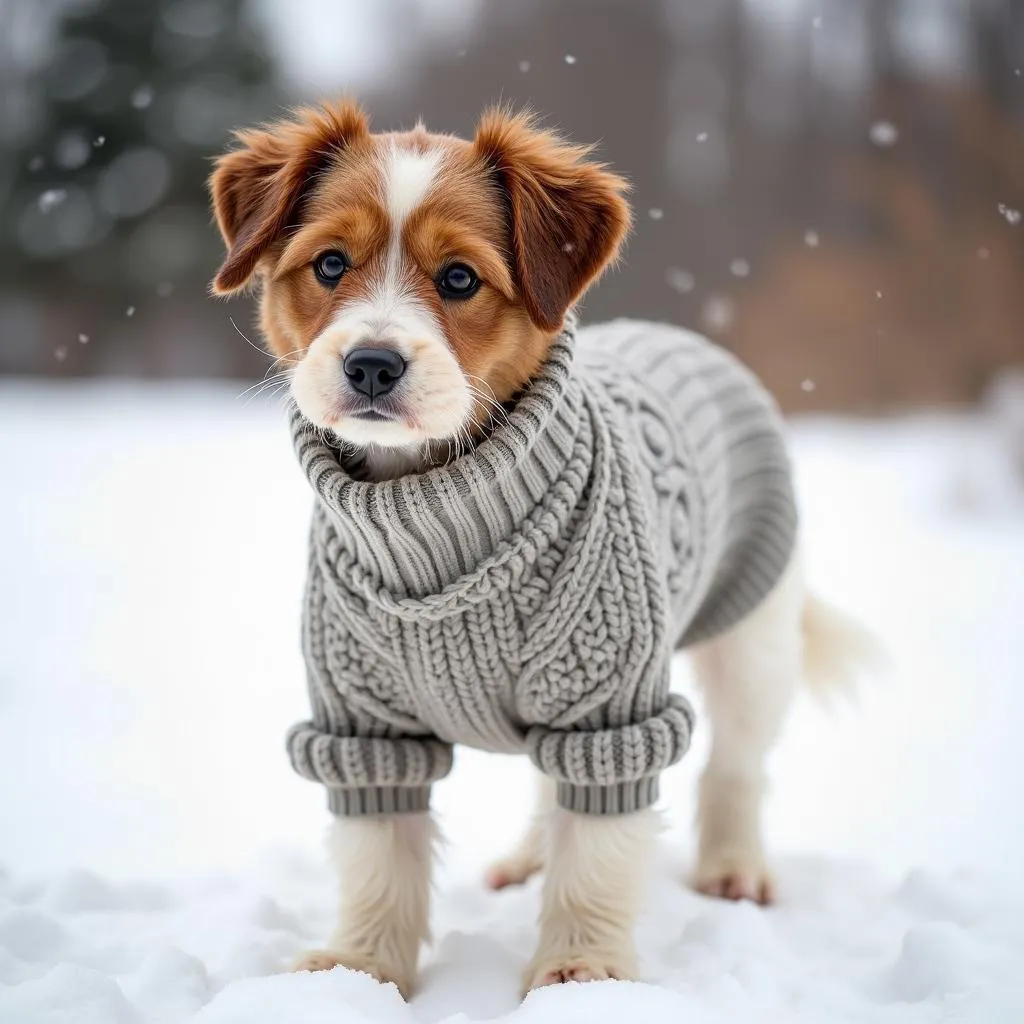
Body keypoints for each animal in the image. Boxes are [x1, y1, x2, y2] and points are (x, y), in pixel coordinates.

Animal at [205, 99, 872, 995]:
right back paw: (525, 859)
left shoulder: (609, 707)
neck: (437, 524)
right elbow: (382, 858)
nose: (372, 363)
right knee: (548, 785)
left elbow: (596, 852)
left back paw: (732, 867)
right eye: (330, 264)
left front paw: (581, 972)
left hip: (754, 639)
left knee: (734, 766)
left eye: (459, 279)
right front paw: (359, 969)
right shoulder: (364, 724)